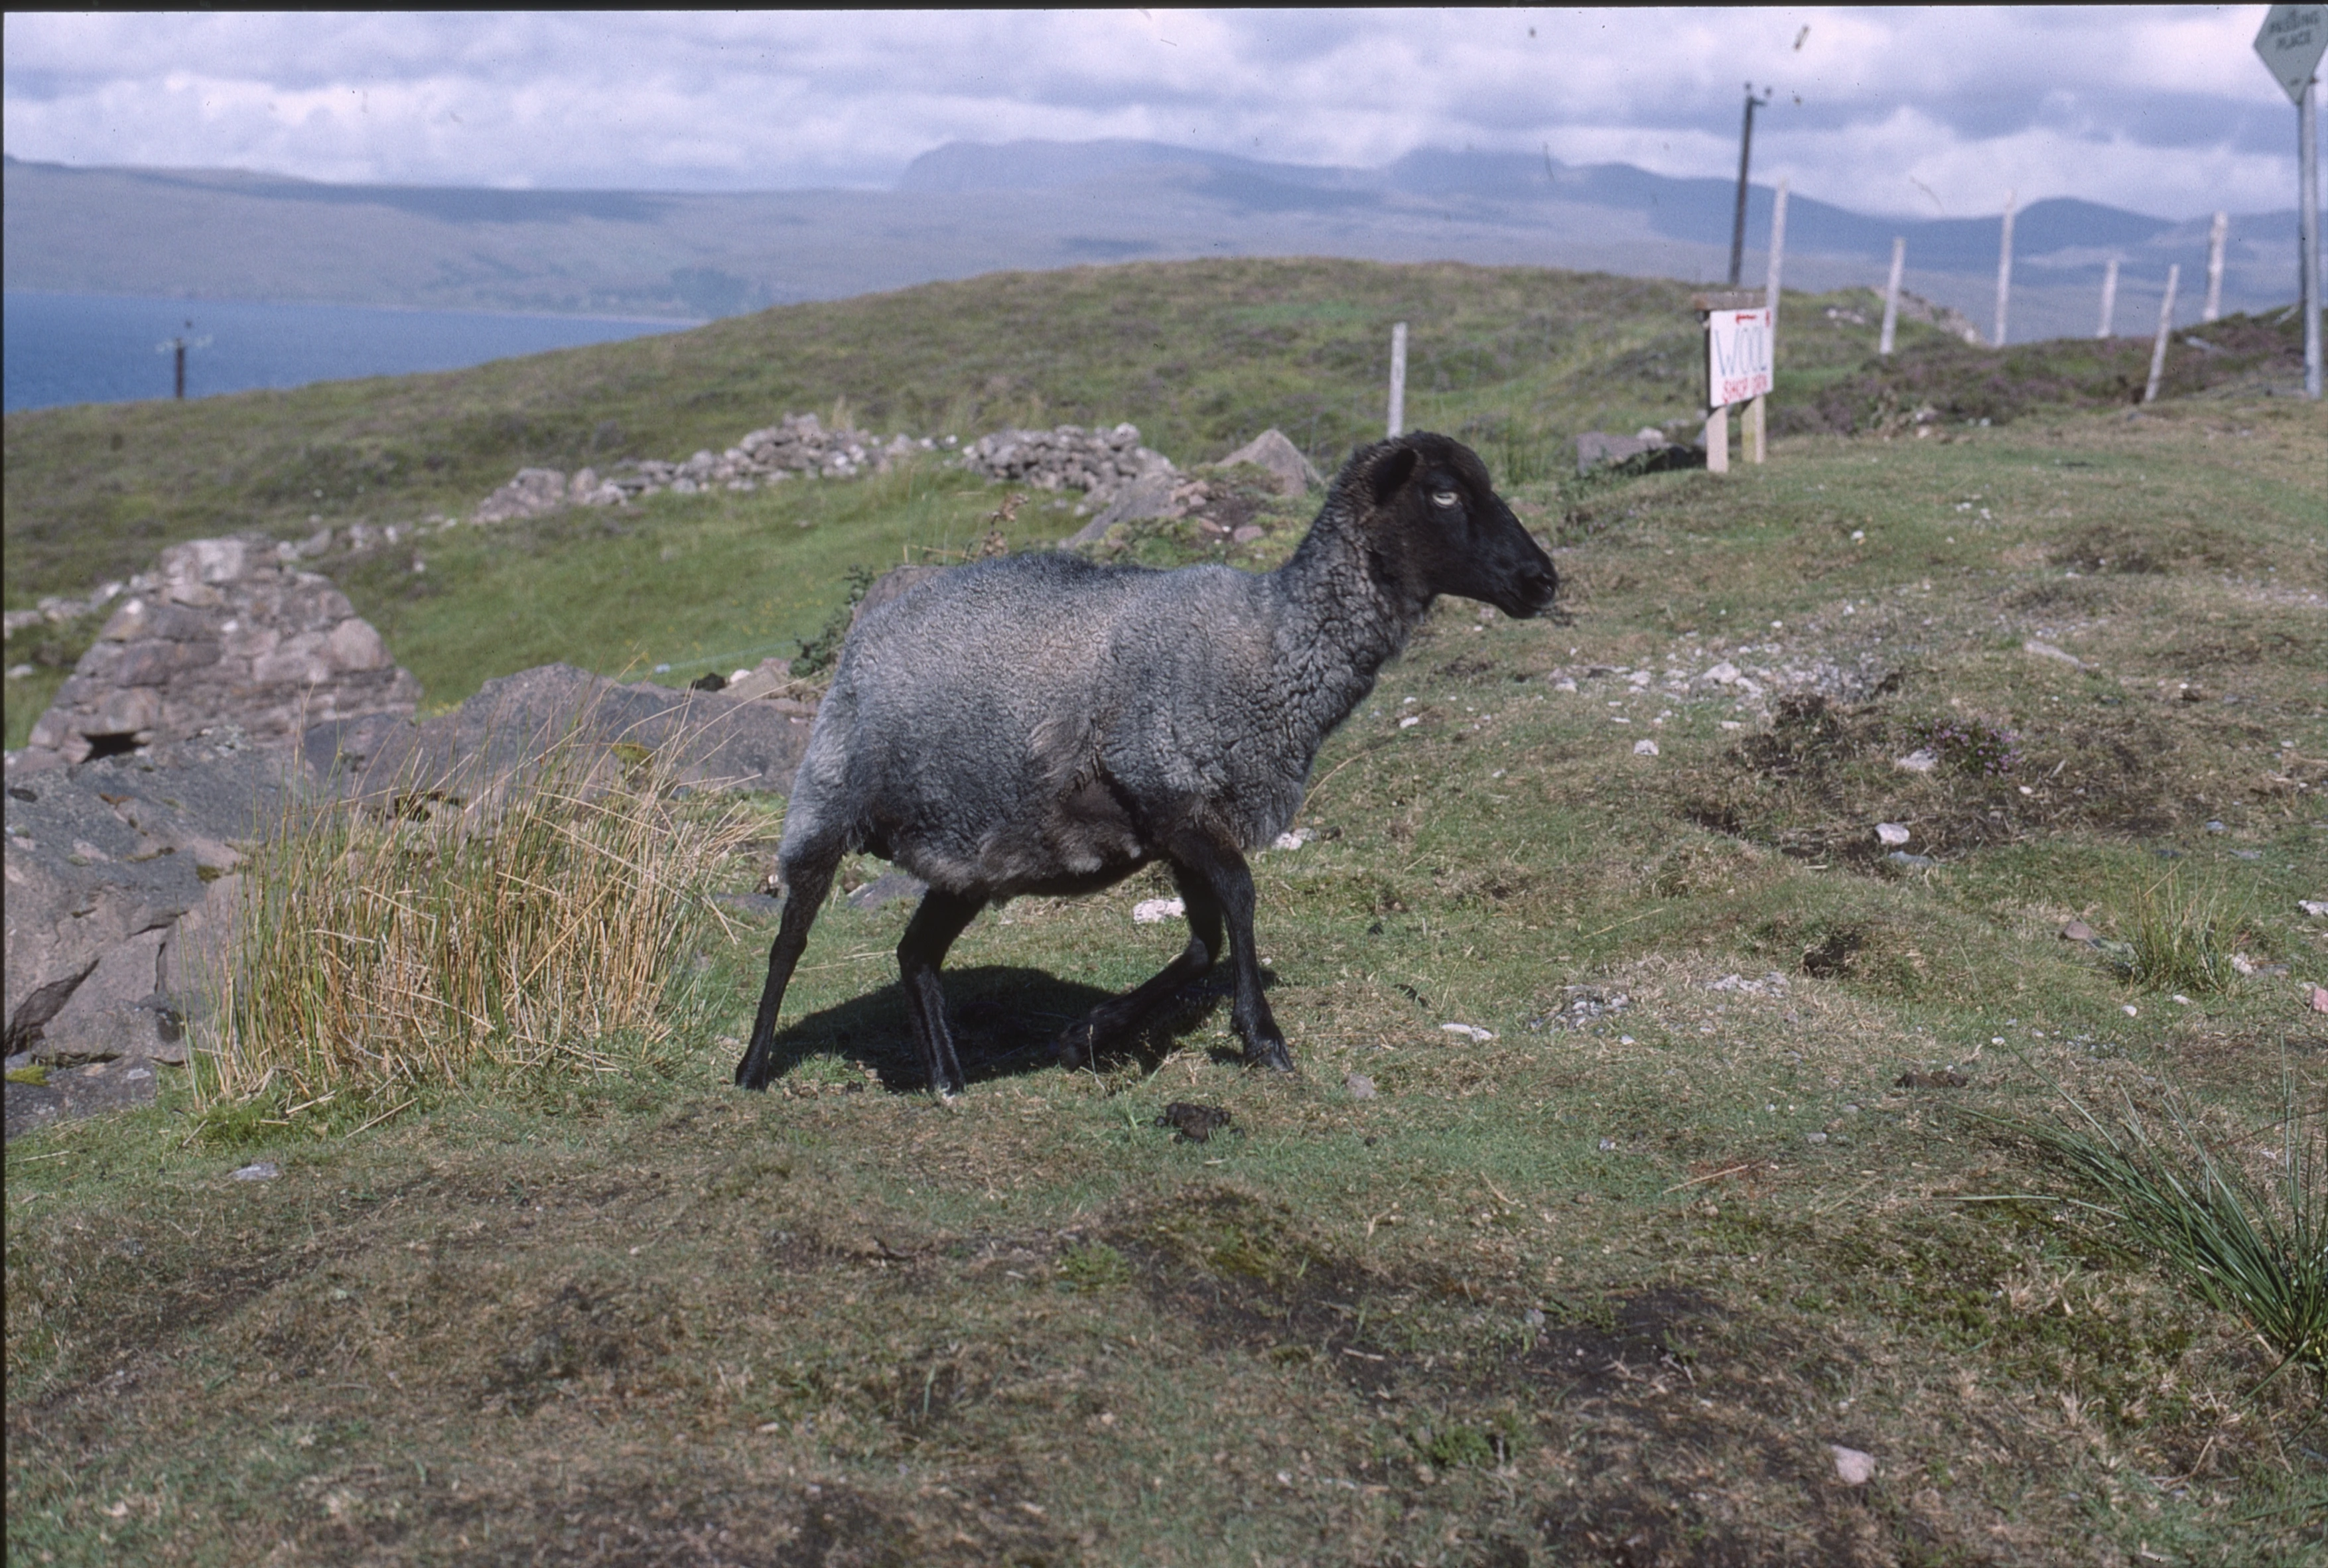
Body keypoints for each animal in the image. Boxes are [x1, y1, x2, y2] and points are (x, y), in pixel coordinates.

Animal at [734, 431, 1557, 1097]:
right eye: (1443, 492)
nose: (1542, 580)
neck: (1271, 645)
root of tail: (869, 628)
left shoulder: (1180, 823)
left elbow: (1203, 942)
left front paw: (1090, 1035)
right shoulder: (1168, 790)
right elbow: (1240, 898)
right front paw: (1263, 1039)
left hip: (971, 850)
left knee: (915, 955)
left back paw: (944, 1079)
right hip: (827, 797)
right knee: (789, 941)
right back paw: (752, 1068)